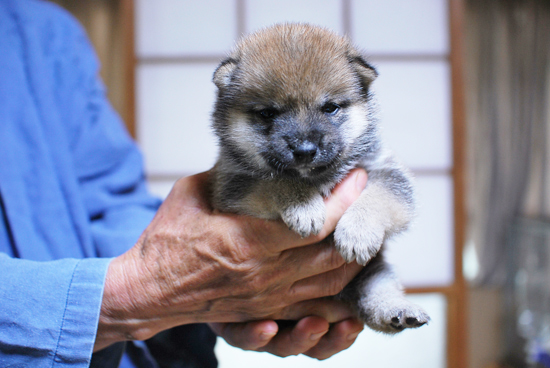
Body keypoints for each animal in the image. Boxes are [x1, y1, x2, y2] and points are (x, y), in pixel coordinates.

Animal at [209, 23, 430, 334]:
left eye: (330, 108)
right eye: (268, 113)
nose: (304, 150)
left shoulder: (387, 172)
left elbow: (377, 198)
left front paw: (358, 231)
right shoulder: (235, 184)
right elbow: (277, 181)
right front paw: (304, 206)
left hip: (372, 270)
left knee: (377, 292)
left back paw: (396, 310)